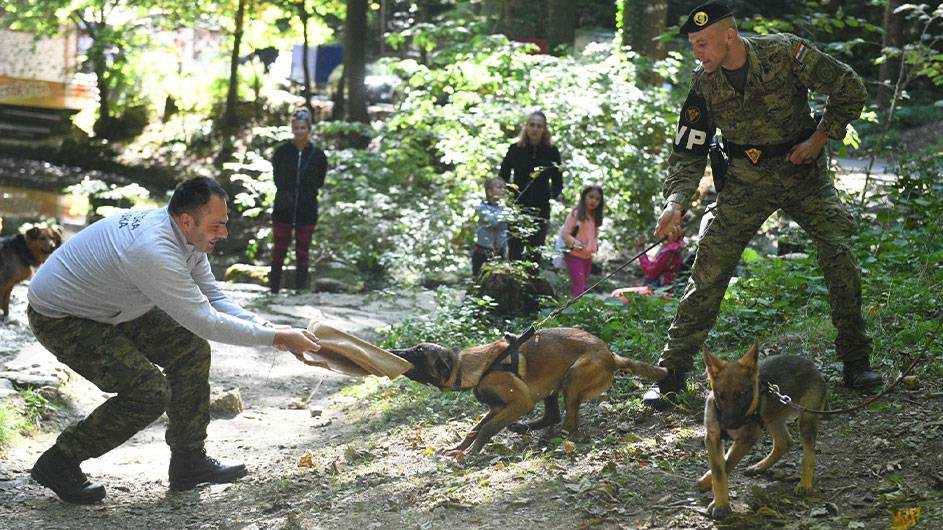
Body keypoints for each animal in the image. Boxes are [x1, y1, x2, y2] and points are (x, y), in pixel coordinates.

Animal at [390, 326, 672, 454]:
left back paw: (552, 438)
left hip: (572, 377)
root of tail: (611, 355)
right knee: (553, 415)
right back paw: (526, 428)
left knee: (568, 422)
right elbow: (475, 428)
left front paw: (472, 452)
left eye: (417, 352)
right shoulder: (497, 407)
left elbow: (488, 429)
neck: (474, 366)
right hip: (552, 385)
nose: (392, 350)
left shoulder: (519, 403)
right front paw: (460, 447)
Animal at [700, 340, 824, 516]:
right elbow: (719, 470)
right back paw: (759, 466)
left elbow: (728, 464)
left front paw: (719, 504)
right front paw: (714, 492)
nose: (729, 424)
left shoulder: (748, 437)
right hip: (772, 419)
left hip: (806, 420)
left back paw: (805, 484)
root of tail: (812, 365)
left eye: (743, 394)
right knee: (784, 443)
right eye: (721, 395)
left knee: (808, 455)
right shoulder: (712, 437)